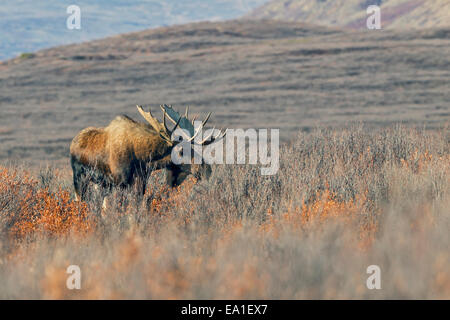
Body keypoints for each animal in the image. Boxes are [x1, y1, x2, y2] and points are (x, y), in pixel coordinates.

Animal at [70, 104, 225, 201]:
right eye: (182, 151)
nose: (207, 170)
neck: (143, 158)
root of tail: (73, 142)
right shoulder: (120, 183)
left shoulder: (141, 182)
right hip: (80, 179)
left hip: (99, 184)